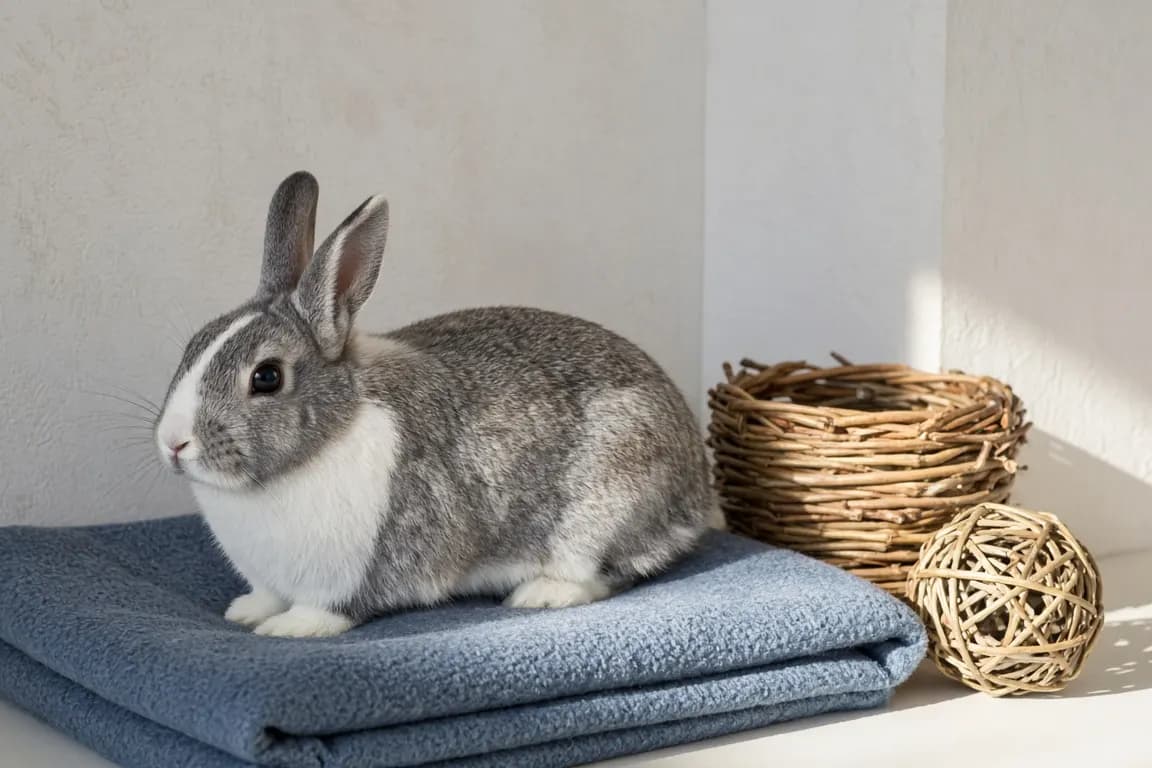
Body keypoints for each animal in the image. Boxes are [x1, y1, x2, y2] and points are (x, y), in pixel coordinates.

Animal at [153, 171, 722, 638]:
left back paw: (539, 595)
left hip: (605, 509)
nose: (174, 443)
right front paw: (246, 612)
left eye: (266, 377)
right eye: (192, 346)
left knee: (608, 572)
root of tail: (696, 486)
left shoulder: (362, 567)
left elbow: (332, 608)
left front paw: (289, 628)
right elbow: (266, 595)